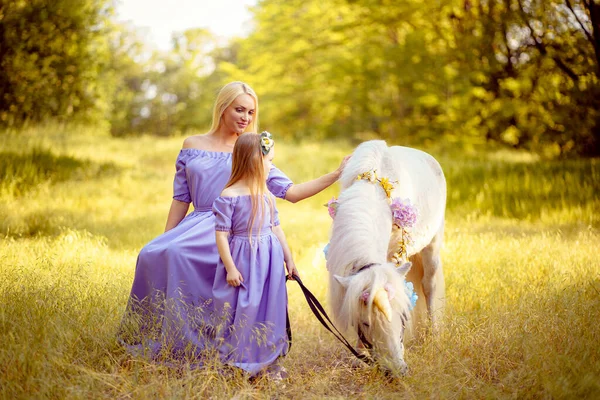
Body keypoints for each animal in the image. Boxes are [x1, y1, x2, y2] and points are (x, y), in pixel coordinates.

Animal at [328, 140, 446, 376]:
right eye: (364, 323)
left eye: (402, 316)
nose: (397, 371)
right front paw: (360, 357)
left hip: (432, 246)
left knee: (429, 286)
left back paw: (433, 337)